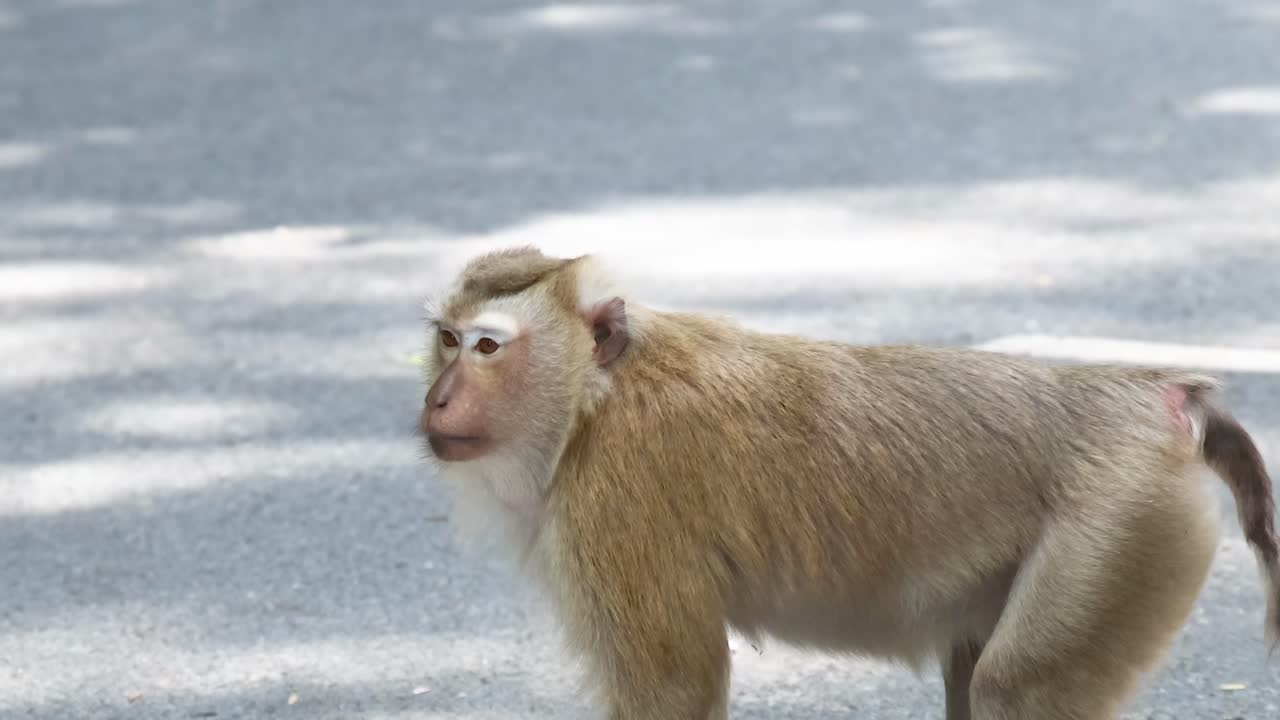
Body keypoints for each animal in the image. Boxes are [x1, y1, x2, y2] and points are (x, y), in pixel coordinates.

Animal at [418, 245, 1280, 720]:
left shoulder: (618, 502)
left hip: (1120, 522)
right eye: (447, 340)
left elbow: (673, 689)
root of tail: (1155, 392)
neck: (592, 405)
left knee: (1015, 693)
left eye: (488, 347)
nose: (435, 397)